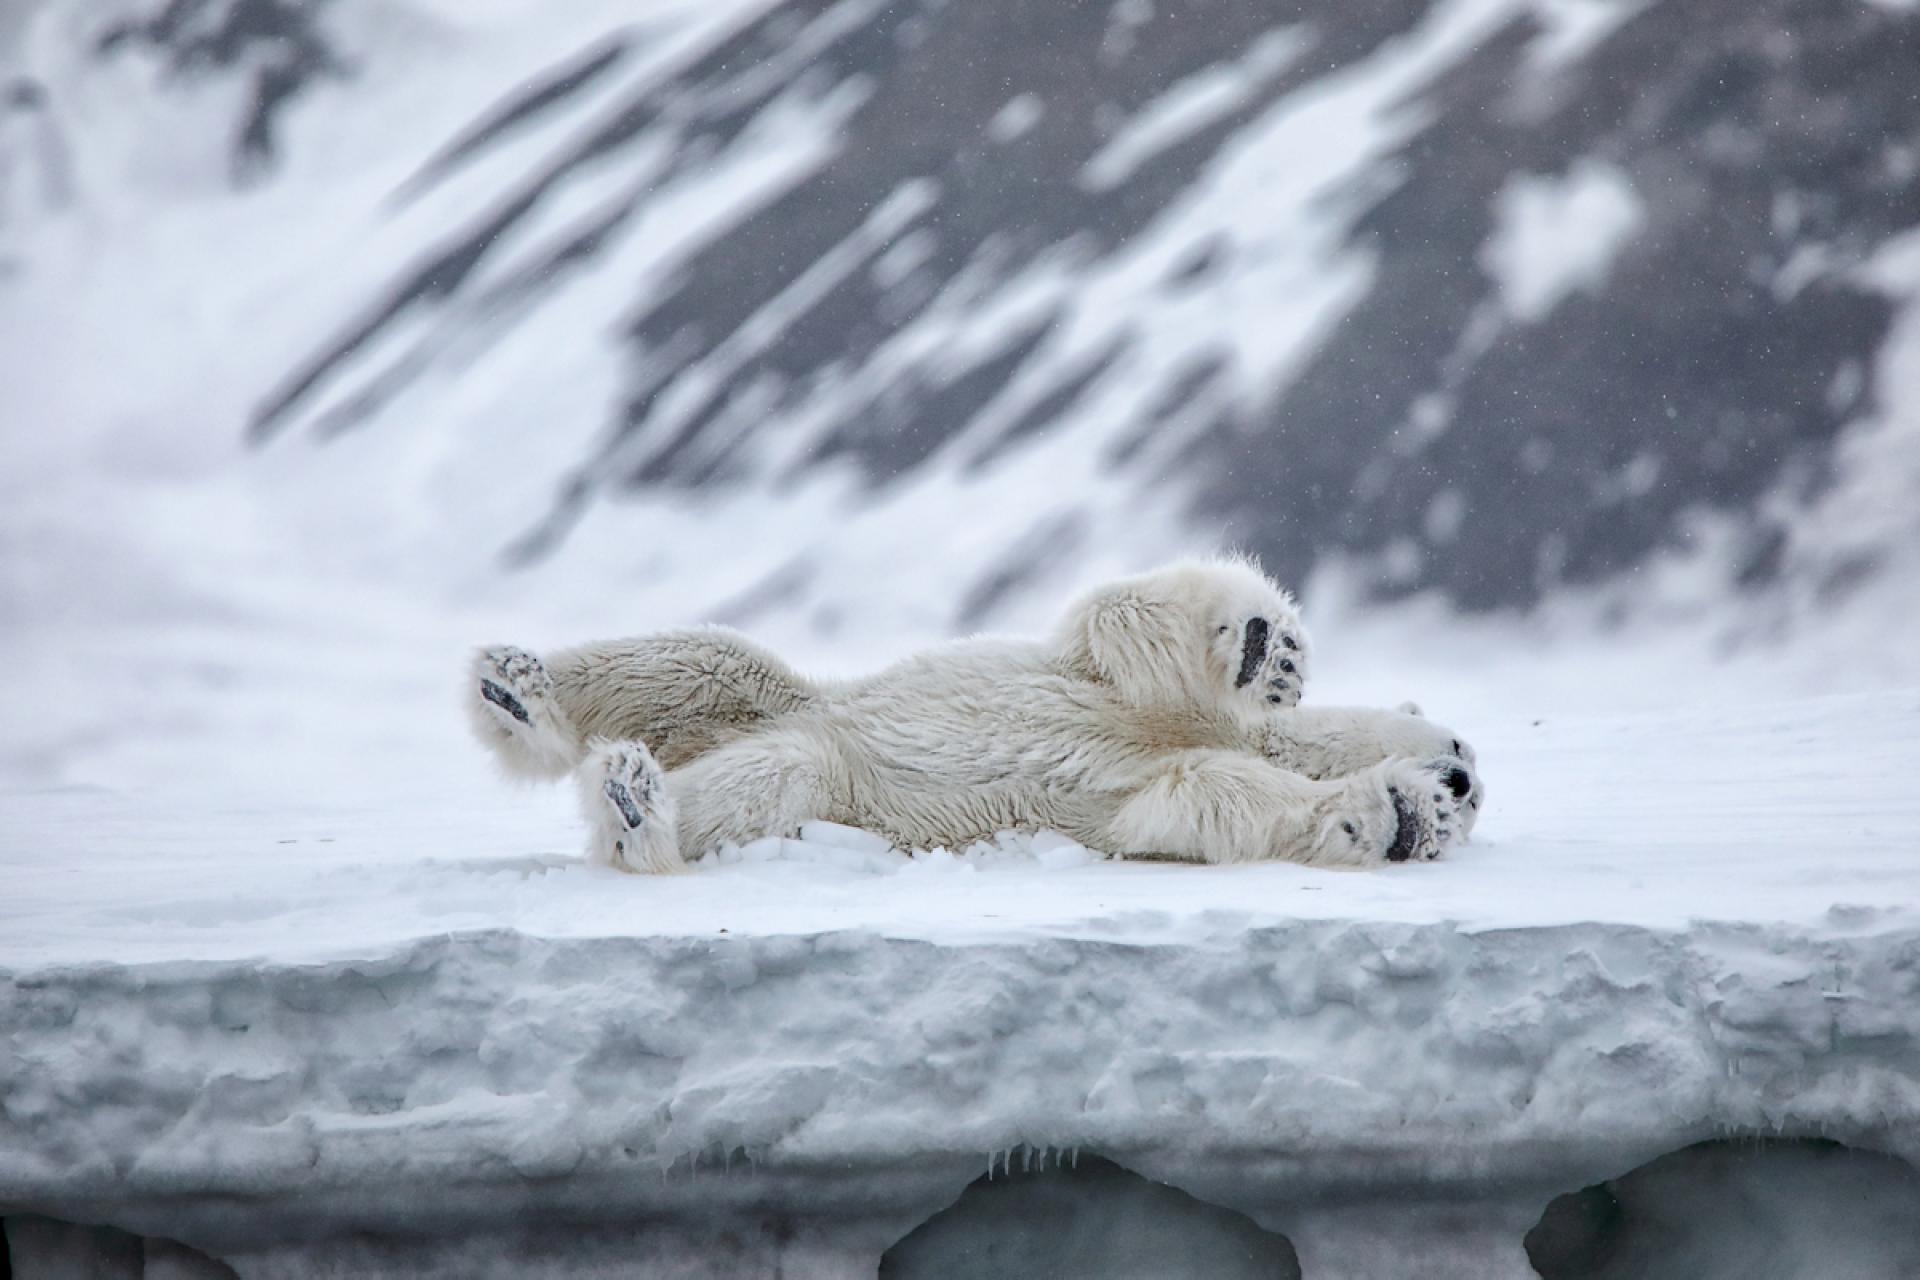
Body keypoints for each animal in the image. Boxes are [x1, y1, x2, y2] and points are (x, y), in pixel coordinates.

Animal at [468, 556, 1482, 871]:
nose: (1463, 778)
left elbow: (1207, 798)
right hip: (797, 696)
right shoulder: (1105, 681)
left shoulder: (1133, 792)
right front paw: (1267, 649)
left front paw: (1399, 815)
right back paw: (516, 690)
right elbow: (1114, 619)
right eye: (1464, 744)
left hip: (829, 778)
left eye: (1471, 794)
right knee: (703, 662)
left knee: (763, 773)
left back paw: (636, 805)